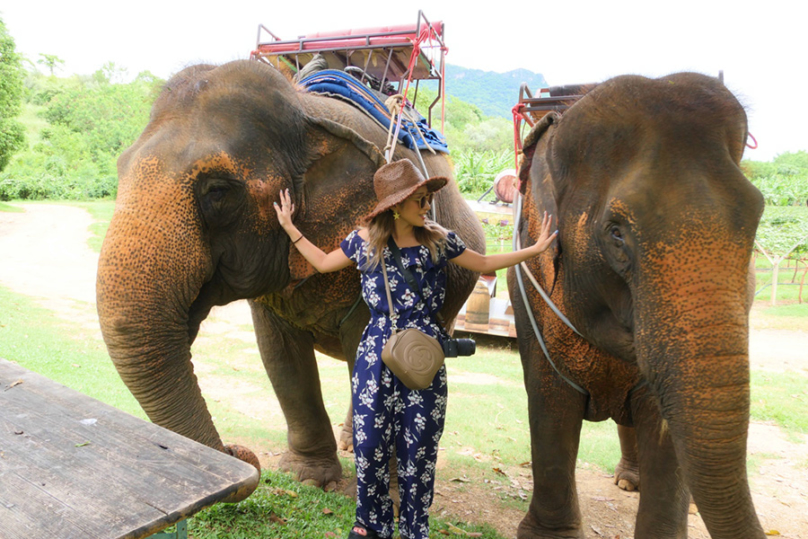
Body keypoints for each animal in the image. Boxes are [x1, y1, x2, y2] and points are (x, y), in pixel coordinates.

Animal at [97, 59, 482, 502]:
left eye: (218, 191)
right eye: (120, 168)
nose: (239, 452)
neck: (307, 116)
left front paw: (387, 489)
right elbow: (281, 359)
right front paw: (309, 478)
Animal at [508, 73, 768, 539]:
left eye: (755, 222)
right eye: (616, 233)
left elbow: (661, 423)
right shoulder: (532, 292)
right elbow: (549, 402)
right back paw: (629, 481)